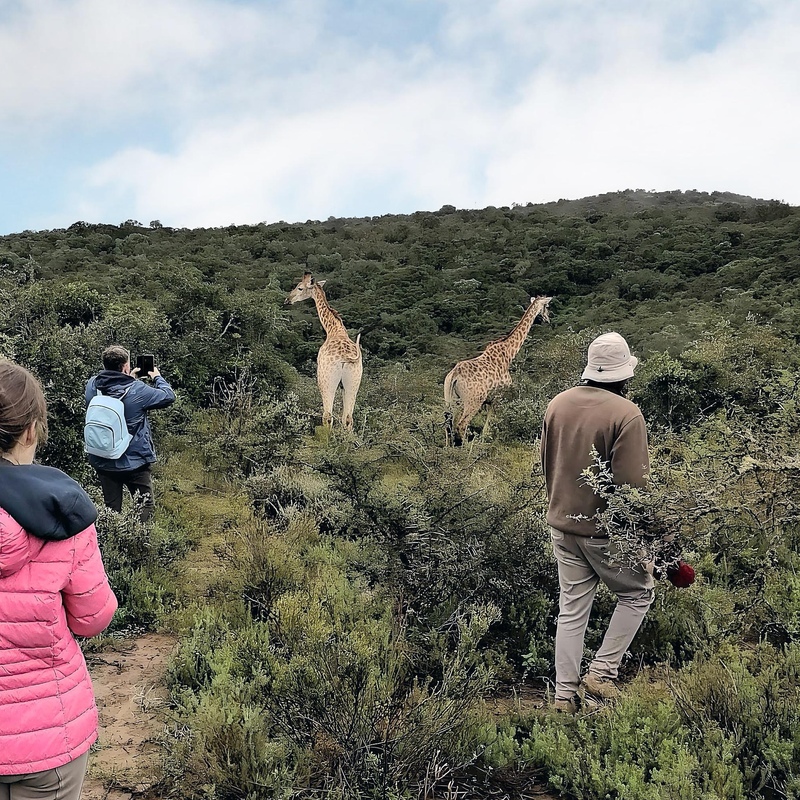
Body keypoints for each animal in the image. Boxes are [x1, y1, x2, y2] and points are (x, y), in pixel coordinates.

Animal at [285, 272, 363, 430]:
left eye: (300, 287)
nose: (287, 300)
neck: (333, 329)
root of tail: (346, 359)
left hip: (327, 381)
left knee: (327, 416)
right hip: (354, 381)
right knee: (348, 418)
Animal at [444, 295, 553, 445]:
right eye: (547, 306)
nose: (548, 319)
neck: (509, 354)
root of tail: (454, 374)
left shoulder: (490, 400)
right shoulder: (499, 397)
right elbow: (488, 427)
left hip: (450, 399)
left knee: (448, 424)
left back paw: (448, 448)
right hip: (473, 401)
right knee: (461, 424)